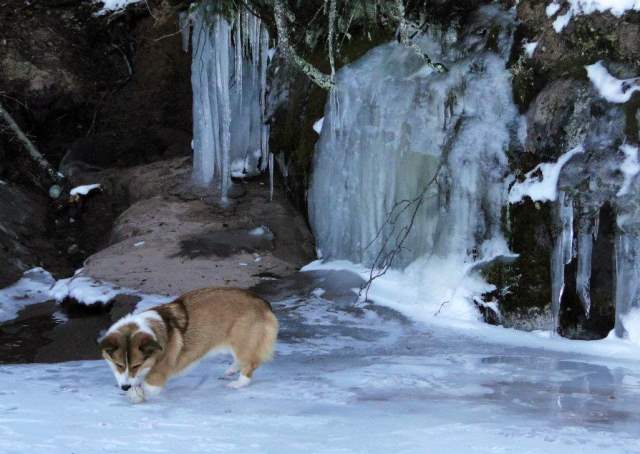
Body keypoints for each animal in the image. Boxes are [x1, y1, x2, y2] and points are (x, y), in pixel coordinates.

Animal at [97, 290, 278, 402]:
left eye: (136, 365)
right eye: (119, 365)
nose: (125, 388)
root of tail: (262, 302)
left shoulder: (157, 376)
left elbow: (147, 387)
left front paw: (137, 395)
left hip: (242, 343)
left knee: (250, 364)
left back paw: (238, 383)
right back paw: (230, 371)